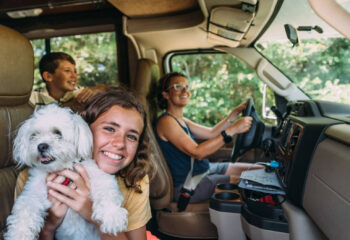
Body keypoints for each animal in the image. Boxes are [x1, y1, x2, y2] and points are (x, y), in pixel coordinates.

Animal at [4, 105, 128, 240]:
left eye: (58, 133)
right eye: (34, 135)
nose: (41, 146)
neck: (62, 169)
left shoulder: (99, 176)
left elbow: (106, 191)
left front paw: (112, 216)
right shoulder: (33, 192)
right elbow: (25, 208)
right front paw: (19, 234)